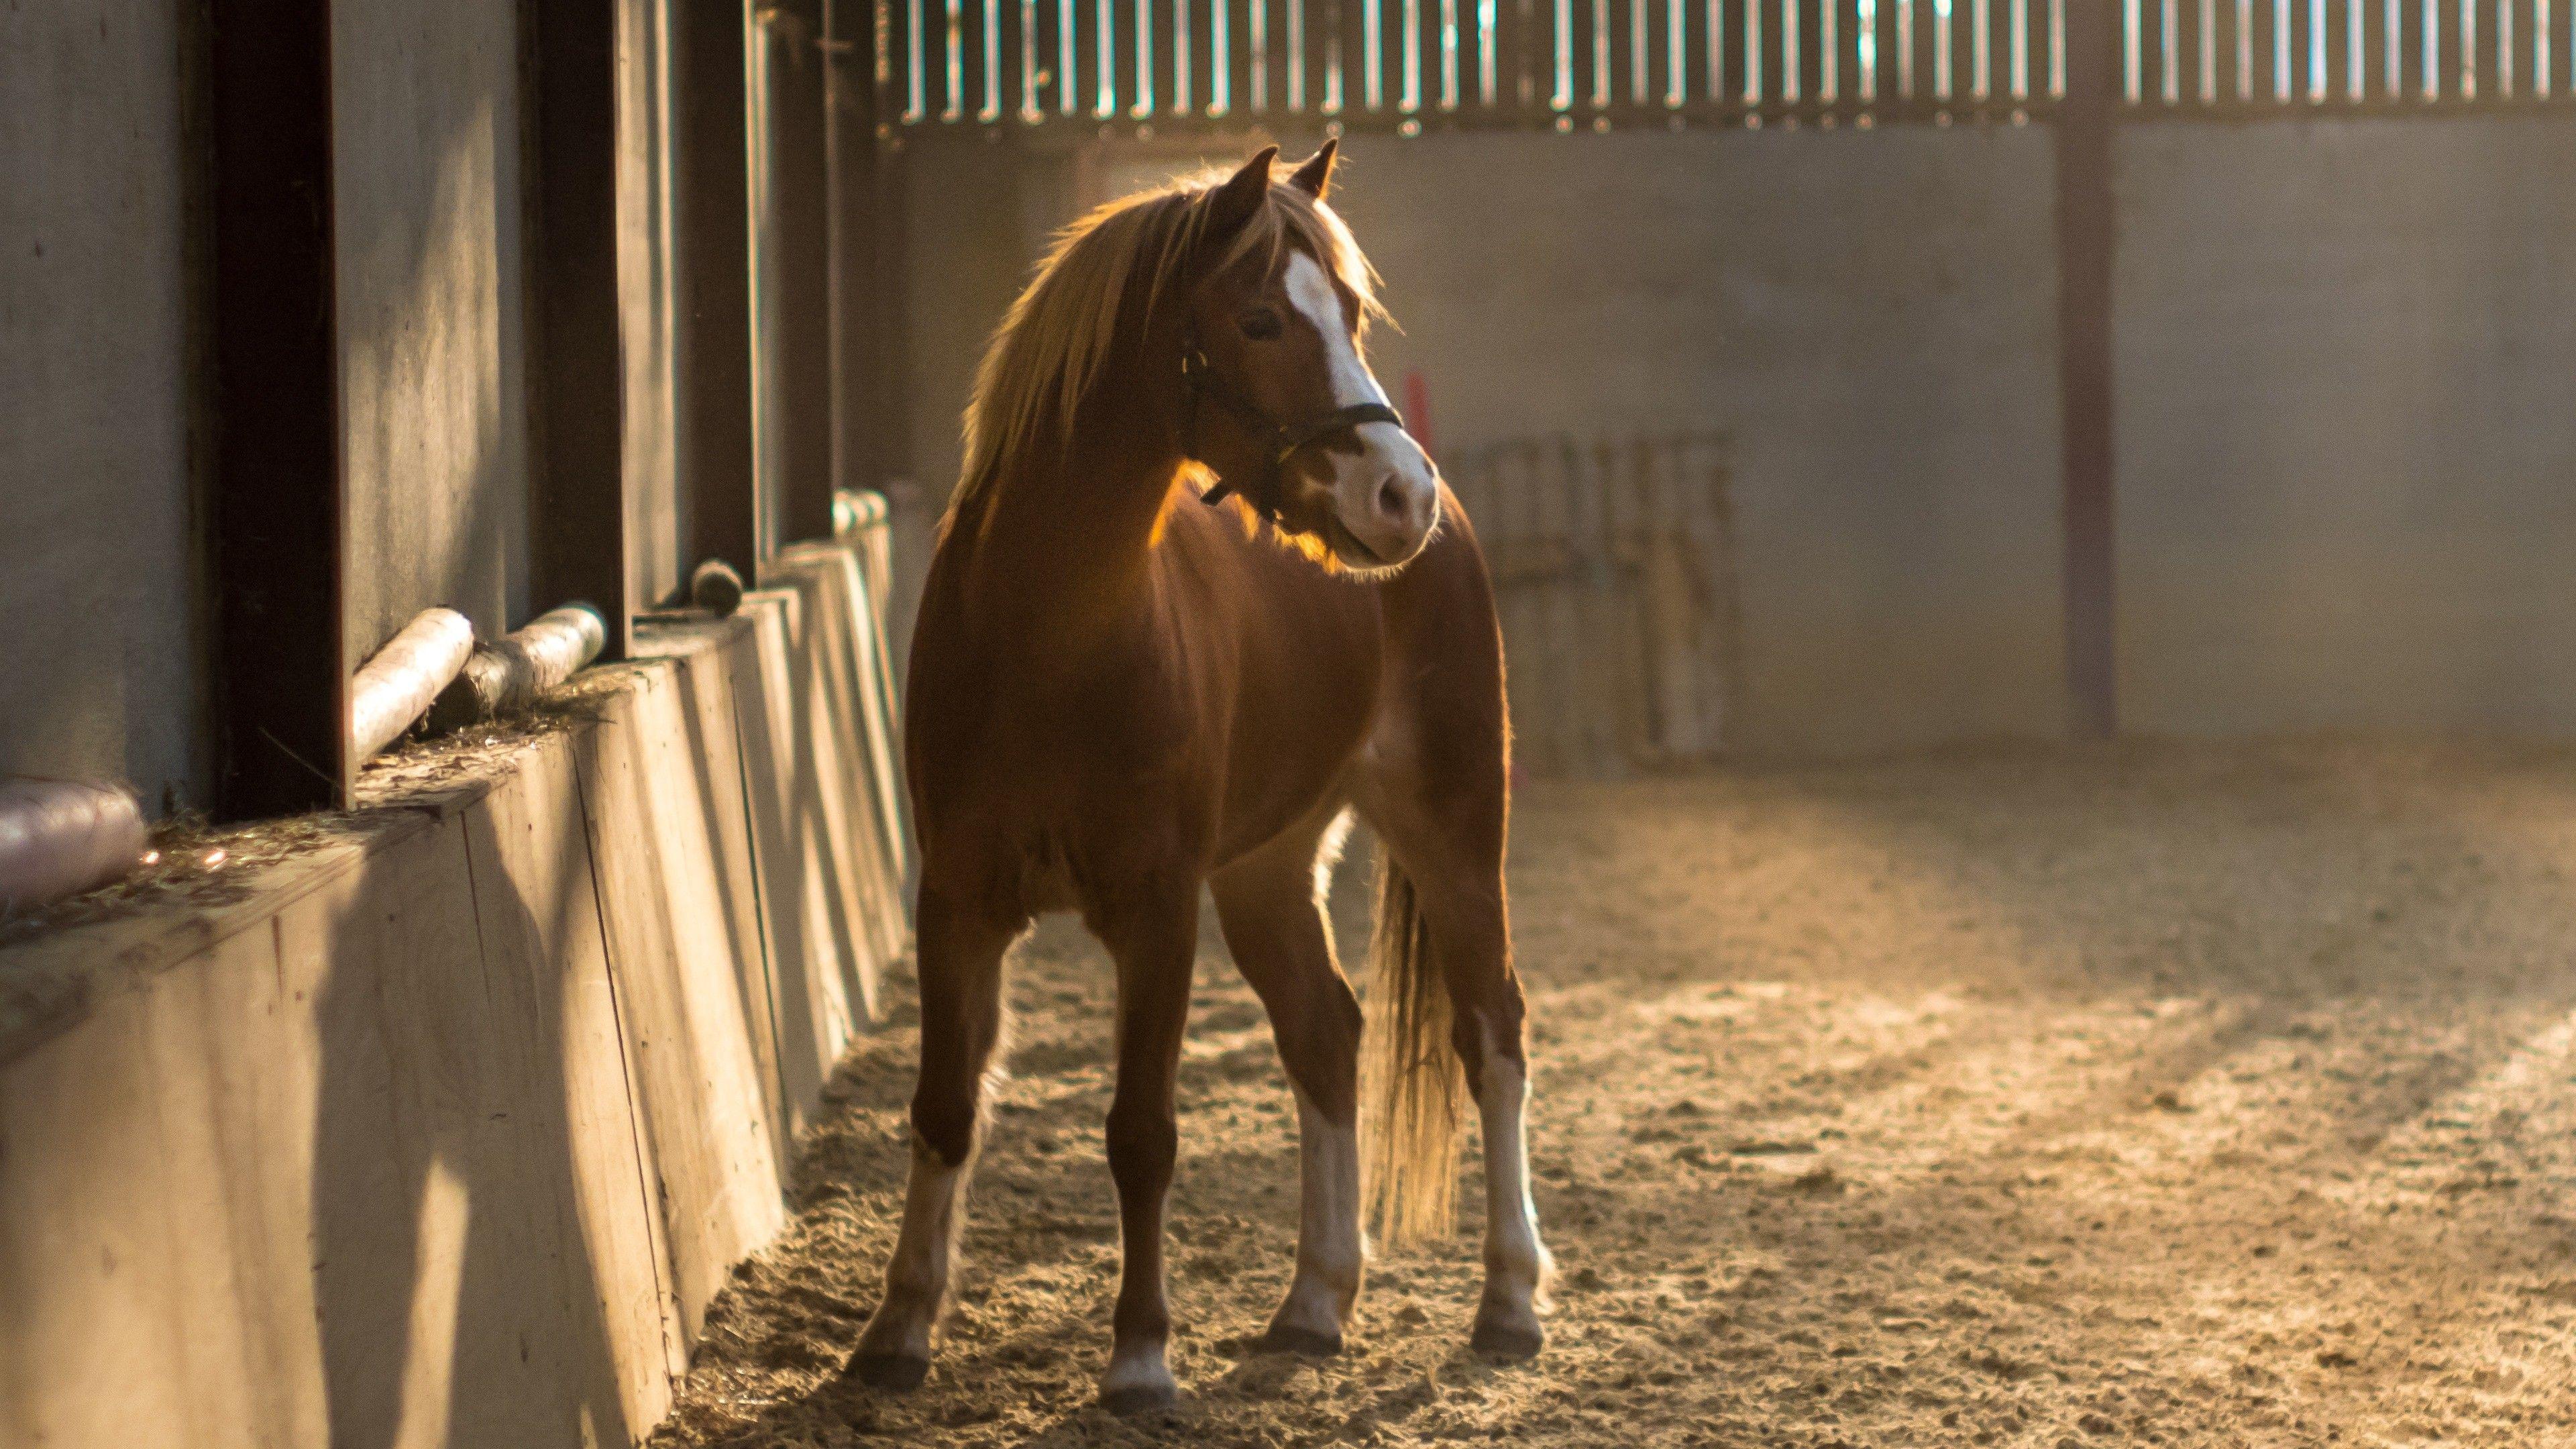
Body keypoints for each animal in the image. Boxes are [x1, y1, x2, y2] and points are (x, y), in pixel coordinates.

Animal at [848, 141, 1551, 1413]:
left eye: (1353, 314)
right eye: (1262, 318)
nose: (1399, 494)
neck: (1051, 635)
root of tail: (1457, 530)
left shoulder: (1156, 910)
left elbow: (1141, 1132)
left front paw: (1138, 1357)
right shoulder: (957, 903)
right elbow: (942, 1108)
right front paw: (898, 1330)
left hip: (1455, 832)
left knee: (1492, 1033)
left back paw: (1510, 1301)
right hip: (1268, 873)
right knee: (1326, 1034)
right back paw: (1314, 1304)